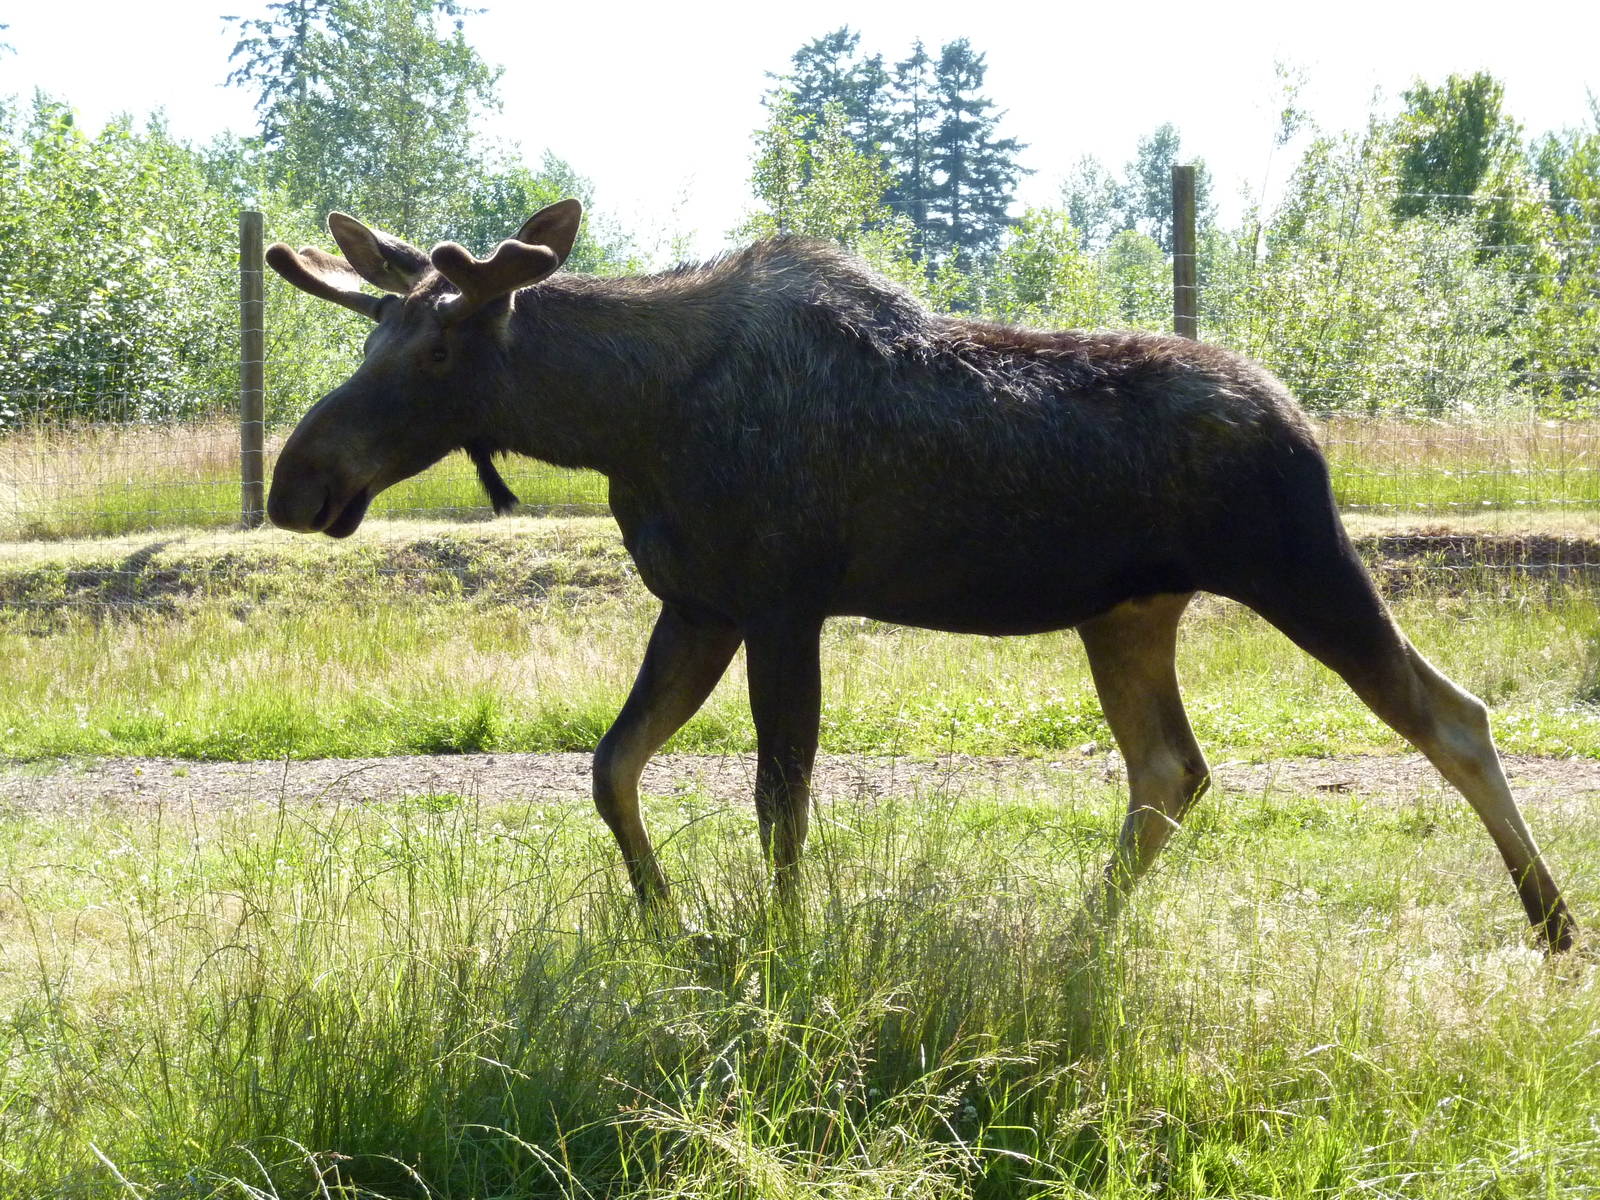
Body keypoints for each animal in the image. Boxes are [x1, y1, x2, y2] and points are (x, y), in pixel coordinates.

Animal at [264, 199, 1576, 951]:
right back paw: (1074, 941)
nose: (297, 481)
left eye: (439, 345)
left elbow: (777, 801)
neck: (624, 422)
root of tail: (1299, 417)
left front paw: (785, 953)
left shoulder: (783, 604)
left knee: (1451, 715)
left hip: (1301, 563)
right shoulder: (698, 604)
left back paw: (1553, 923)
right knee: (1170, 769)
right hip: (1128, 613)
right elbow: (610, 768)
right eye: (373, 333)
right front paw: (671, 929)